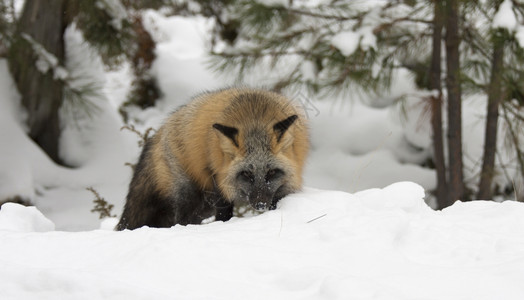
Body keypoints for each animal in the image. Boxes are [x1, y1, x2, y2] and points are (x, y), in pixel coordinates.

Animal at [116, 86, 310, 230]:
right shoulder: (218, 179)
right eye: (247, 174)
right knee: (181, 220)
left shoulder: (284, 185)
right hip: (189, 195)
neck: (255, 118)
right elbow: (224, 211)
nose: (261, 204)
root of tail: (162, 128)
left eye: (271, 172)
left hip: (204, 207)